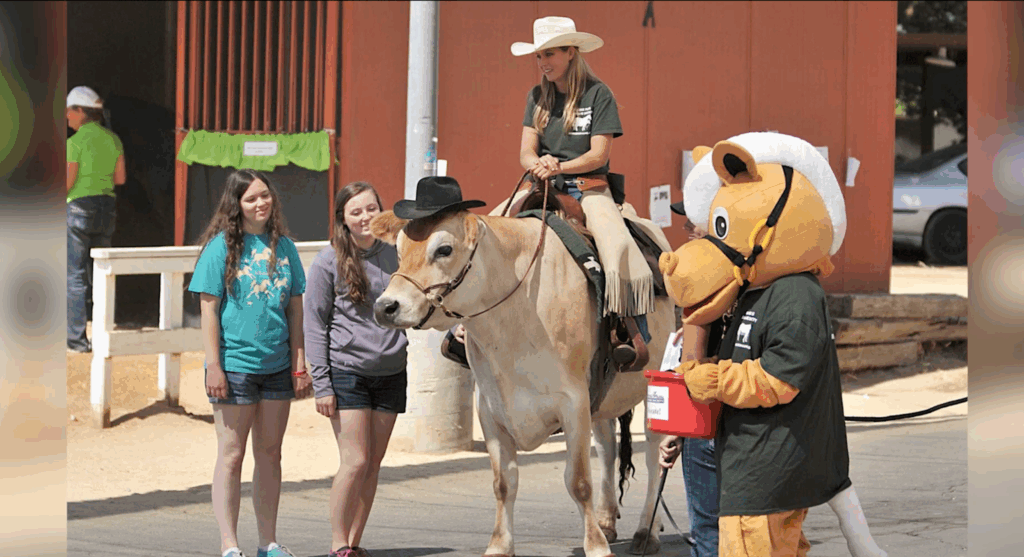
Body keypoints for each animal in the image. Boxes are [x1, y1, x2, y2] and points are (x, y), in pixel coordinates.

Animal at [371, 206, 675, 557]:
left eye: (444, 249)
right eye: (398, 250)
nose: (385, 307)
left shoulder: (573, 403)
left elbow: (578, 481)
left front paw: (596, 546)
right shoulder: (490, 409)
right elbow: (504, 483)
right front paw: (499, 545)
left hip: (654, 388)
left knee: (654, 457)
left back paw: (646, 531)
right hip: (603, 399)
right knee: (607, 449)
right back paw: (607, 521)